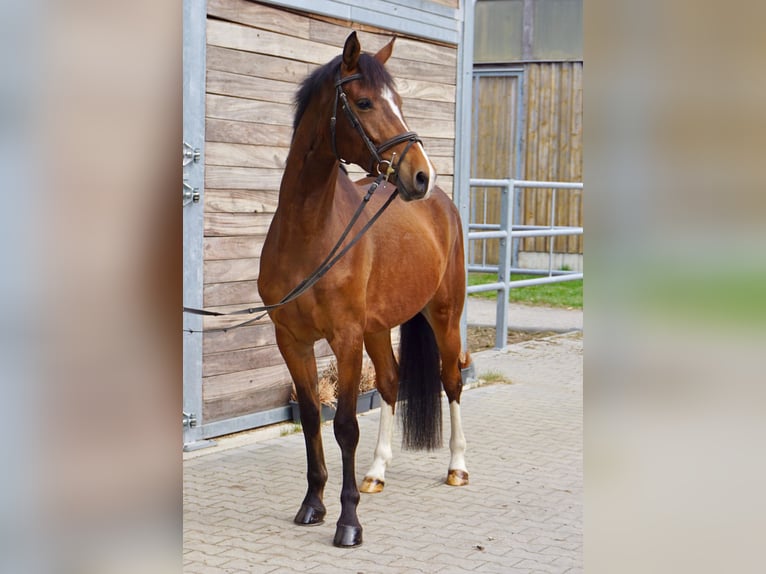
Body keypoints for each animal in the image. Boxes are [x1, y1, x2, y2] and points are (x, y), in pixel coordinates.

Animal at [258, 31, 471, 548]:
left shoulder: (346, 338)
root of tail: (441, 203)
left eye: (401, 102)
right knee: (392, 383)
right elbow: (312, 419)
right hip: (378, 327)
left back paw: (457, 467)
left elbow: (346, 426)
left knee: (452, 379)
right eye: (365, 102)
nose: (422, 174)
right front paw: (312, 505)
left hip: (444, 315)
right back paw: (376, 473)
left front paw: (348, 521)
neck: (310, 234)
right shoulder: (292, 340)